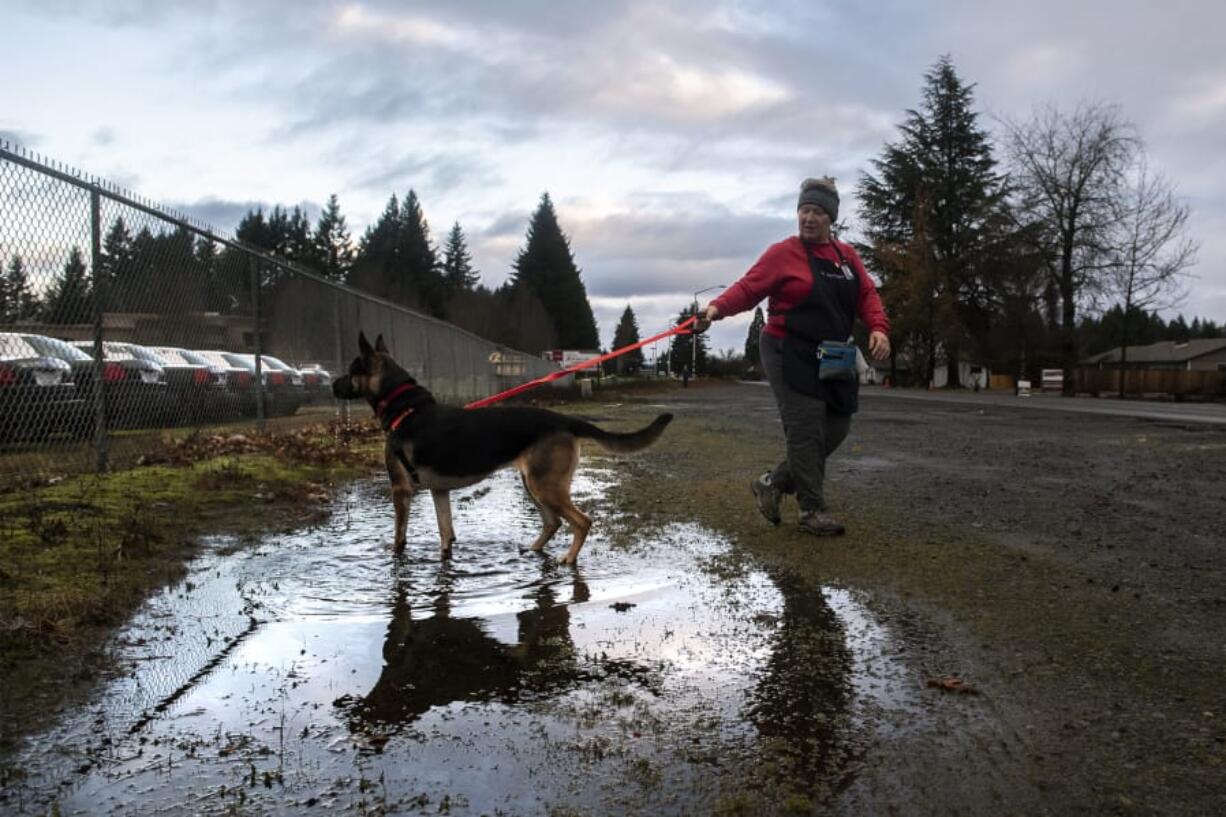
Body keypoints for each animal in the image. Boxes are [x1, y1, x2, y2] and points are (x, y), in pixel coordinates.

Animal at [333, 331, 671, 559]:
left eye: (351, 372)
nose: (332, 384)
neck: (407, 408)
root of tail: (564, 420)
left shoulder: (400, 491)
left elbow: (399, 539)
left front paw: (396, 559)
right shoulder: (439, 491)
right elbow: (446, 534)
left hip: (544, 486)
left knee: (581, 522)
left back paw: (568, 559)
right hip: (533, 484)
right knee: (553, 523)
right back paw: (533, 550)